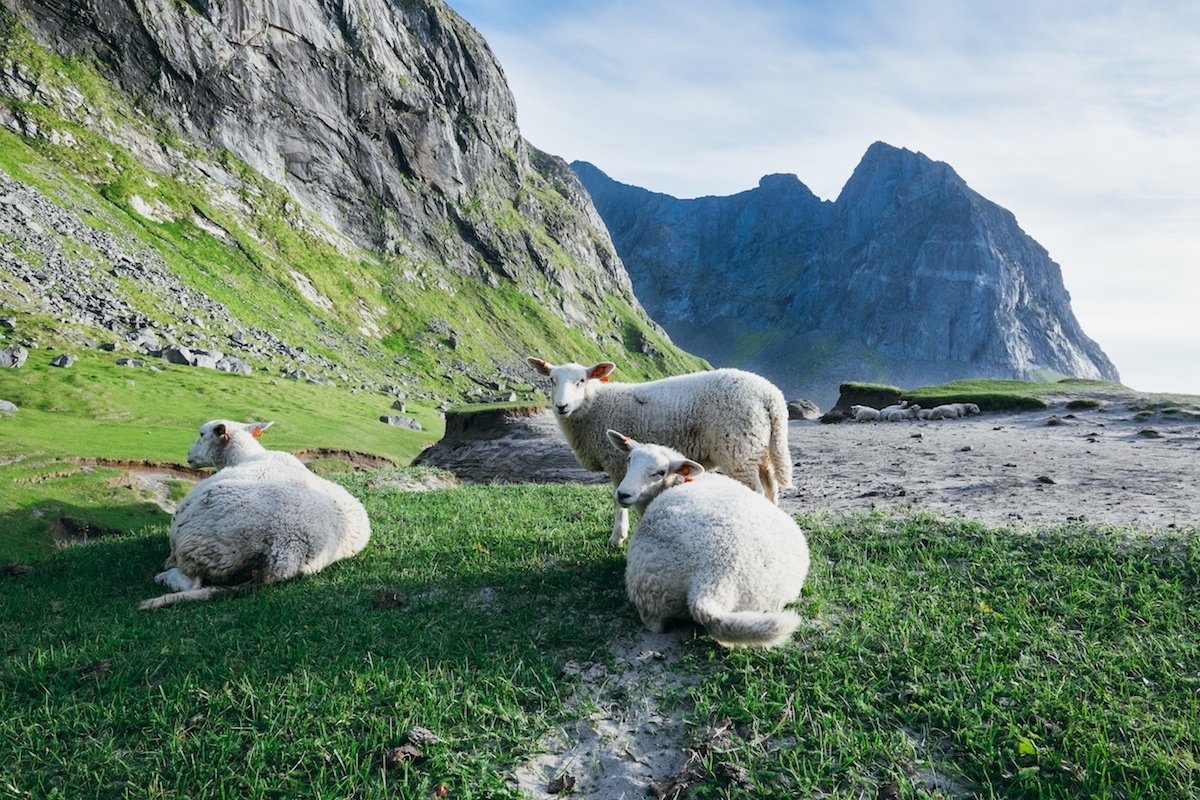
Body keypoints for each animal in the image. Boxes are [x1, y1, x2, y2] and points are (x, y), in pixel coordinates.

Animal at [137, 422, 369, 609]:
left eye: (202, 434)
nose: (188, 455)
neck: (244, 456)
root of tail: (283, 556)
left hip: (197, 541)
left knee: (190, 581)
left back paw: (164, 576)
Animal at [528, 357, 792, 551]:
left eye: (581, 381)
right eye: (552, 380)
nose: (561, 406)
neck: (593, 406)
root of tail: (772, 396)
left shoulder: (616, 462)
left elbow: (617, 500)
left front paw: (617, 537)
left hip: (738, 449)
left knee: (757, 490)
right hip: (759, 449)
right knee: (771, 489)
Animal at [604, 431, 811, 652]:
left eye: (660, 472)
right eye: (629, 459)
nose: (623, 494)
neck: (683, 480)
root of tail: (712, 579)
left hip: (648, 590)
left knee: (654, 624)